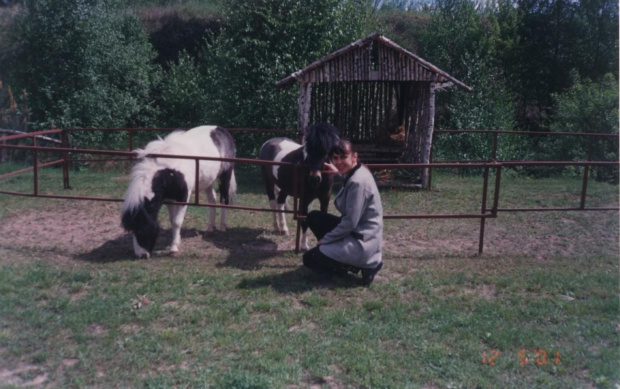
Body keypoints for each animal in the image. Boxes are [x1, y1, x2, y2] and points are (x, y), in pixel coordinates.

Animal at [121, 125, 235, 258]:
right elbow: (172, 220)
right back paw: (210, 228)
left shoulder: (183, 197)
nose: (141, 255)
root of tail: (221, 130)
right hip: (208, 180)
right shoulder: (169, 199)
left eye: (139, 229)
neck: (168, 171)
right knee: (212, 200)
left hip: (225, 176)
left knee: (224, 199)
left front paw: (174, 249)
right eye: (132, 229)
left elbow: (177, 221)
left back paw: (223, 227)